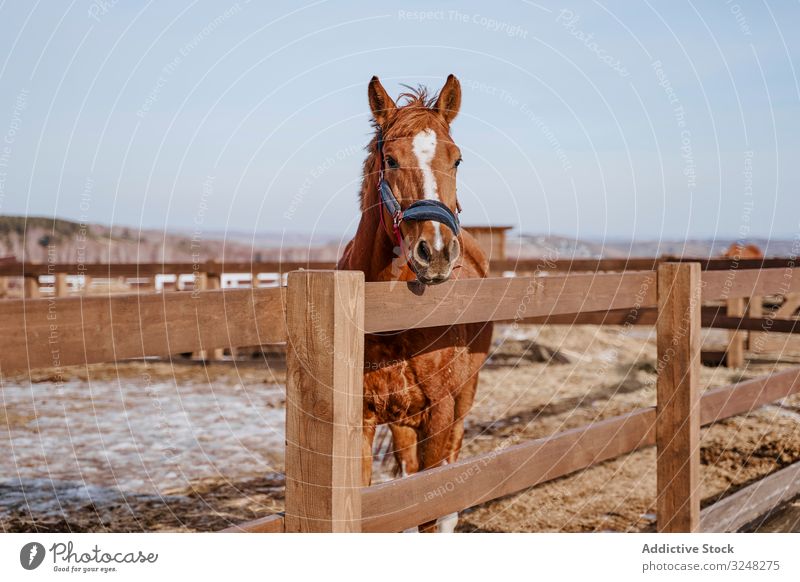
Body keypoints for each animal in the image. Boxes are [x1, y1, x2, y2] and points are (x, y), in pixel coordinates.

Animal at [338, 76, 494, 532]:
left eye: (456, 160)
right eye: (390, 159)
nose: (436, 252)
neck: (391, 320)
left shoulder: (439, 413)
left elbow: (430, 508)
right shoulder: (364, 419)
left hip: (463, 399)